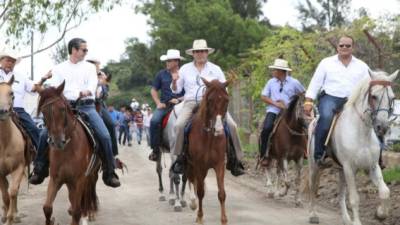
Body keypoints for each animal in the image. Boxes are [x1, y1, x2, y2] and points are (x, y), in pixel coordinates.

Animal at [37, 81, 99, 225]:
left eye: (62, 109)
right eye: (43, 111)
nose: (57, 141)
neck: (67, 149)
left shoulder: (80, 179)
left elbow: (77, 211)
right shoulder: (56, 178)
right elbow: (47, 208)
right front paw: (51, 220)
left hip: (92, 174)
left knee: (89, 192)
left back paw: (90, 213)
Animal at [186, 78, 230, 225]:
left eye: (227, 100)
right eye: (210, 100)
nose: (219, 129)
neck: (210, 137)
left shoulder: (220, 164)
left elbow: (221, 193)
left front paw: (224, 219)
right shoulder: (199, 165)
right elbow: (200, 192)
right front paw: (200, 217)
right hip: (191, 165)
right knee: (191, 181)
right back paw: (192, 203)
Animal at [308, 69, 398, 224]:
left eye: (392, 98)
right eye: (373, 96)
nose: (382, 127)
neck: (361, 134)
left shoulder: (372, 167)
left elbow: (385, 191)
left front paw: (380, 214)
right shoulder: (349, 167)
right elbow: (354, 199)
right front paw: (357, 222)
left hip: (340, 170)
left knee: (340, 194)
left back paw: (346, 219)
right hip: (316, 166)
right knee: (313, 187)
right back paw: (313, 215)